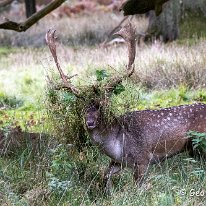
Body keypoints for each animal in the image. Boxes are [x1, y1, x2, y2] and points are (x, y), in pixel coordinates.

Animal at [45, 23, 206, 192]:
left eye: (102, 105)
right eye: (82, 107)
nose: (89, 122)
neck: (117, 145)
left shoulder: (143, 158)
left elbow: (137, 188)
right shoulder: (118, 162)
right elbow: (105, 175)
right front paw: (108, 193)